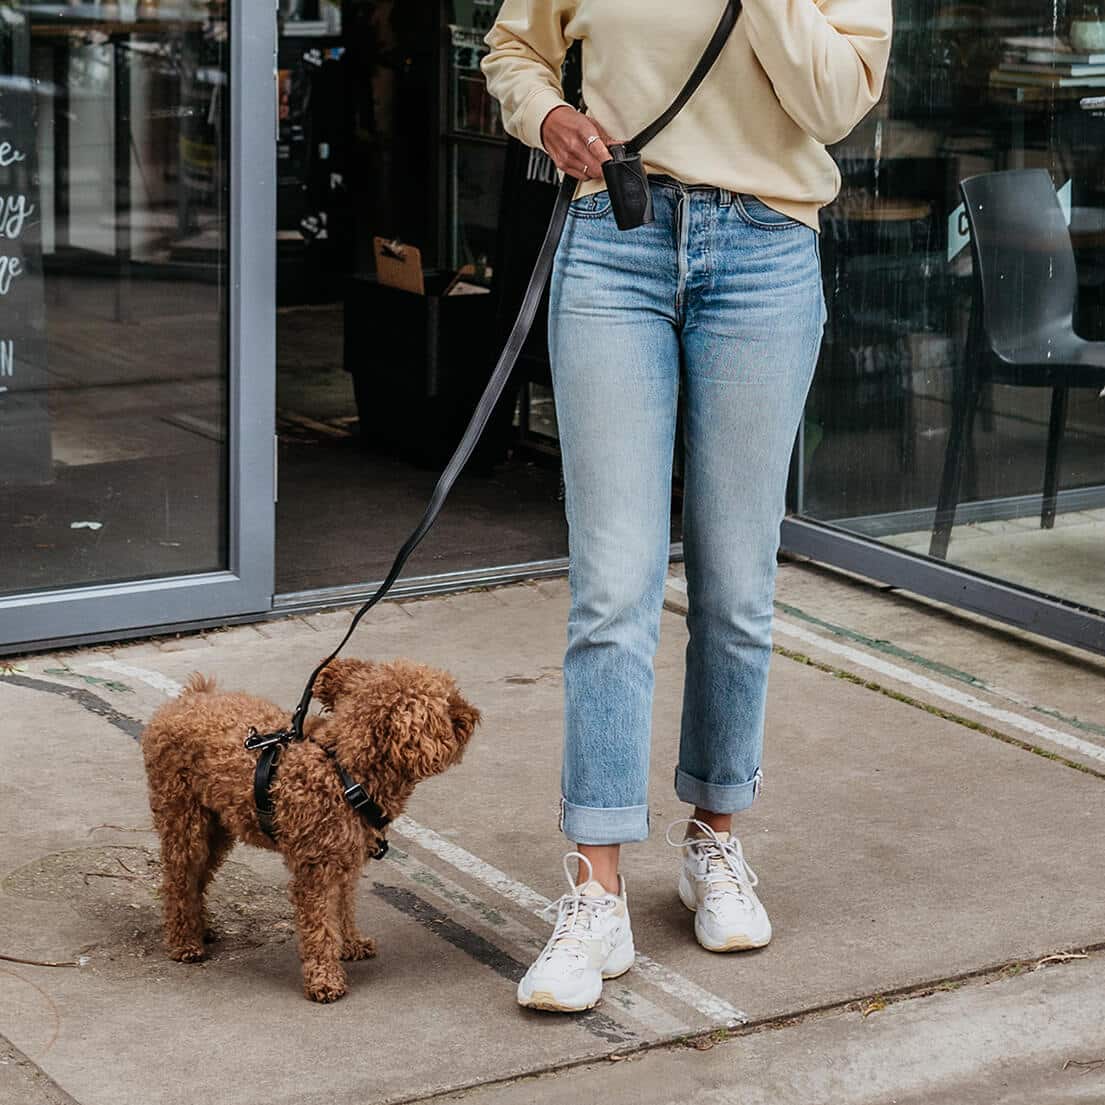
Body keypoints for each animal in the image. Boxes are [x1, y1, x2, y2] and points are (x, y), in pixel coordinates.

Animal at [140, 658, 477, 1007]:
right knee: (178, 882)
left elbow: (343, 908)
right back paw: (184, 941)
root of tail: (189, 699)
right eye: (446, 703)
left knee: (199, 879)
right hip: (183, 820)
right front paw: (324, 979)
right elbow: (319, 926)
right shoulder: (316, 870)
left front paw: (351, 943)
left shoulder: (344, 864)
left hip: (217, 827)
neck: (345, 772)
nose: (472, 714)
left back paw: (201, 927)